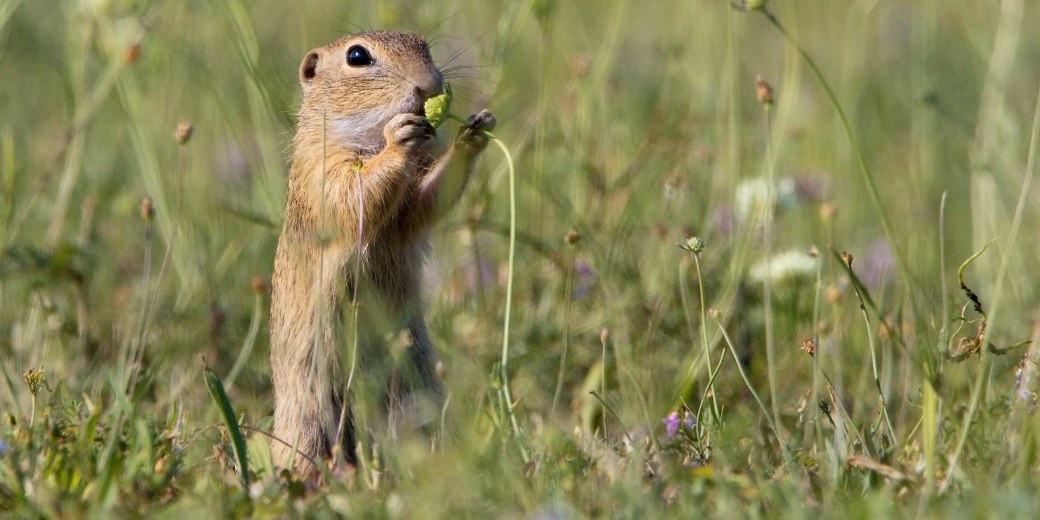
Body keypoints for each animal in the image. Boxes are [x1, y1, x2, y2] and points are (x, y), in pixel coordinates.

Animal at [268, 30, 495, 474]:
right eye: (357, 56)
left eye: (425, 46)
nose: (429, 85)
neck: (366, 138)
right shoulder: (320, 170)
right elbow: (352, 196)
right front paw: (399, 139)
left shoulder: (406, 212)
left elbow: (425, 205)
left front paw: (474, 132)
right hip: (306, 413)